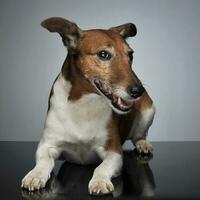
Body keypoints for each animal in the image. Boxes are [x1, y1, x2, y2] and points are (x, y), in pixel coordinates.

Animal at [22, 17, 156, 195]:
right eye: (104, 54)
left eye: (130, 55)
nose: (139, 90)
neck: (84, 103)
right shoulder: (47, 144)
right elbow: (44, 161)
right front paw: (35, 175)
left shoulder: (113, 151)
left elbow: (102, 167)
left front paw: (99, 181)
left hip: (149, 110)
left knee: (139, 134)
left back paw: (143, 144)